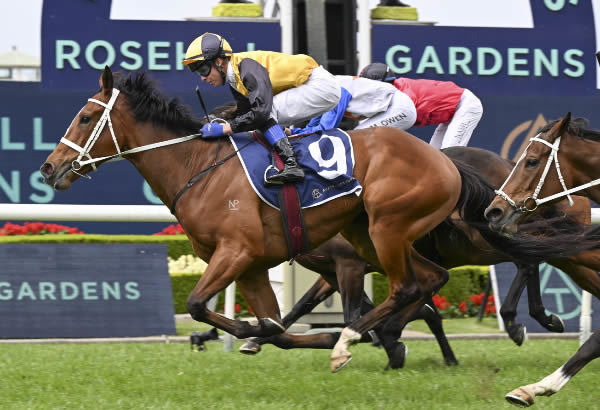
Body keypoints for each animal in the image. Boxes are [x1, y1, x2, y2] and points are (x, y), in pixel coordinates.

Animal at [41, 69, 596, 374]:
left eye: (86, 118)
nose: (49, 167)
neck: (199, 167)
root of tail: (445, 162)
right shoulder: (255, 264)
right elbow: (275, 324)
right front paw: (259, 334)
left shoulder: (241, 253)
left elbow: (200, 304)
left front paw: (328, 337)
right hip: (371, 235)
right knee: (429, 281)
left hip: (391, 229)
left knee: (435, 279)